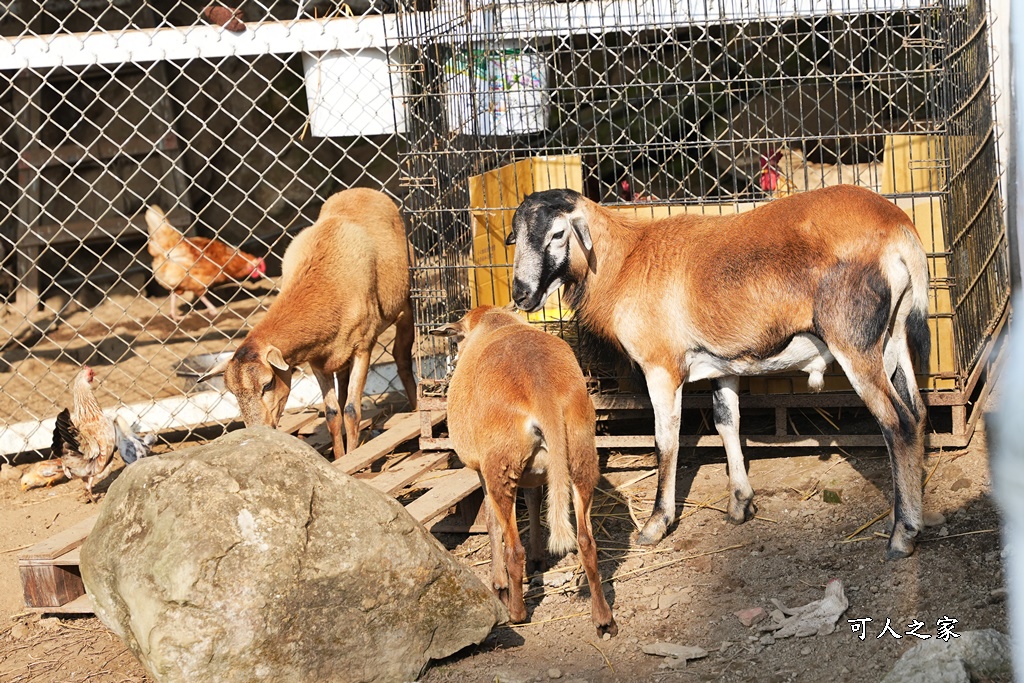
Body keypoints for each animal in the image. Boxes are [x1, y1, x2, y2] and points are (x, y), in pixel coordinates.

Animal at [432, 305, 614, 634]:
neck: (494, 322)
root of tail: (543, 391)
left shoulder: (482, 471)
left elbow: (491, 523)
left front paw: (498, 583)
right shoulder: (535, 475)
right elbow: (533, 500)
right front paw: (539, 559)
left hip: (500, 465)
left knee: (514, 549)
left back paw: (515, 612)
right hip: (581, 456)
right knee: (587, 542)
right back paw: (603, 618)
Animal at [507, 183, 933, 561]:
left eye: (558, 233)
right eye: (517, 237)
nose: (521, 295)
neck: (626, 260)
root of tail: (898, 228)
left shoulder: (661, 368)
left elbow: (666, 441)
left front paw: (656, 524)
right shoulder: (722, 365)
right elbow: (727, 422)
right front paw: (740, 505)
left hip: (854, 343)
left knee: (897, 423)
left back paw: (902, 536)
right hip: (893, 339)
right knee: (917, 413)